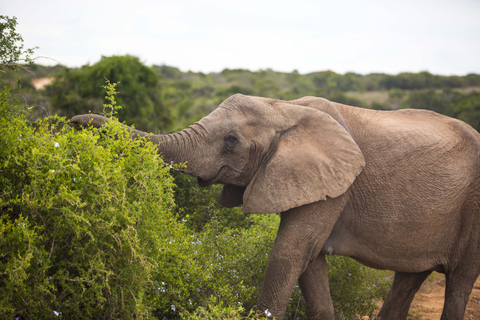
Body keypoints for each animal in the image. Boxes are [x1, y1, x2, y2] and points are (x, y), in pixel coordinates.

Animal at [71, 94, 480, 318]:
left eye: (231, 140)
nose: (75, 122)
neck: (285, 109)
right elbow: (308, 262)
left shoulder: (337, 185)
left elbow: (288, 252)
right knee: (410, 278)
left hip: (473, 209)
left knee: (460, 281)